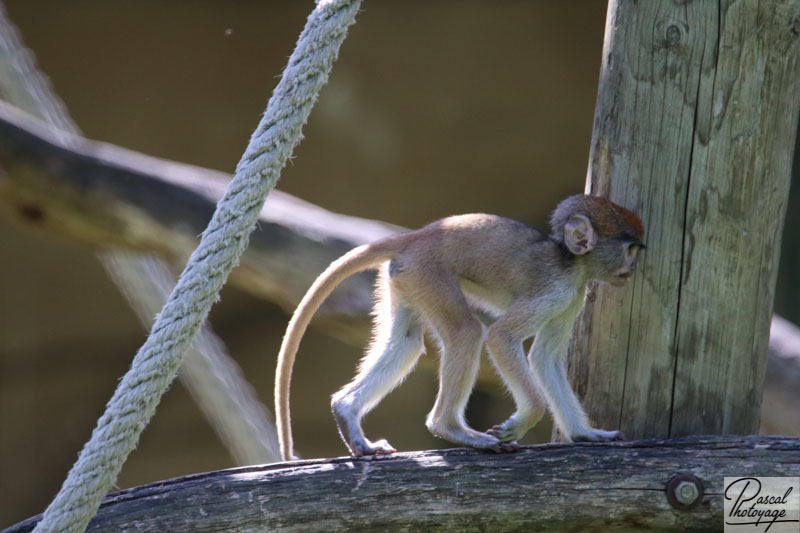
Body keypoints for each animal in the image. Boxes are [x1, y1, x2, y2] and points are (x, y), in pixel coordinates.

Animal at [274, 193, 644, 460]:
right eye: (630, 250)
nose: (633, 269)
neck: (570, 260)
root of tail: (417, 236)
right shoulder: (558, 289)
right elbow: (501, 337)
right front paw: (521, 421)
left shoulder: (572, 299)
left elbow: (545, 359)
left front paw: (586, 434)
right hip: (428, 272)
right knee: (468, 333)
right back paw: (451, 427)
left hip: (406, 276)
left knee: (407, 342)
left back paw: (346, 411)